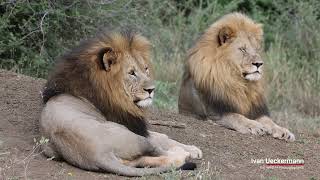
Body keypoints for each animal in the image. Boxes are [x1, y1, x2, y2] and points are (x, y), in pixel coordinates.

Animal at [38, 28, 201, 176]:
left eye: (146, 69)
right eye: (132, 73)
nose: (152, 89)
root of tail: (99, 155)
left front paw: (192, 149)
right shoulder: (134, 127)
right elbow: (163, 137)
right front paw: (193, 149)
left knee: (145, 161)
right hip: (132, 136)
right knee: (159, 151)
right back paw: (182, 153)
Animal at [178, 12, 296, 142]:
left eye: (256, 49)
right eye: (243, 49)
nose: (259, 64)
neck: (238, 82)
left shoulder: (255, 111)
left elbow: (269, 121)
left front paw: (283, 131)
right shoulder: (216, 112)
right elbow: (237, 117)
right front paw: (255, 126)